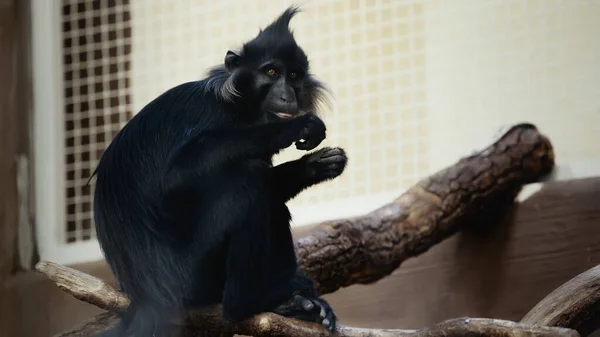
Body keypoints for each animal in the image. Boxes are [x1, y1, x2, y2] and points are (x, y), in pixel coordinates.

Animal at [94, 5, 346, 336]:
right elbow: (176, 175)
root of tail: (147, 296)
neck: (240, 108)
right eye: (271, 73)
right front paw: (299, 127)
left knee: (268, 197)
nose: (288, 96)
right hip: (192, 275)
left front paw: (317, 166)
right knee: (246, 180)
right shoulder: (208, 113)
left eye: (293, 76)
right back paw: (251, 301)